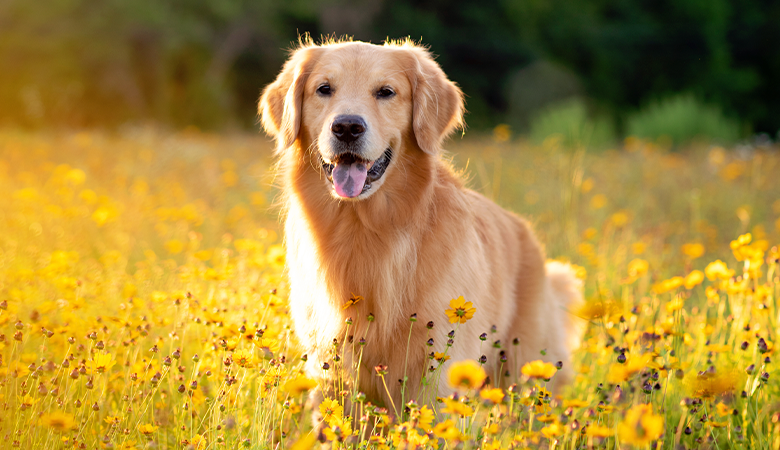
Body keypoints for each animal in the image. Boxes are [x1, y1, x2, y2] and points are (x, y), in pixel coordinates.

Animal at [258, 39, 580, 414]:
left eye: (386, 92)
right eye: (324, 89)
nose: (347, 127)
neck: (365, 230)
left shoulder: (438, 370)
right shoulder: (331, 369)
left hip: (525, 367)